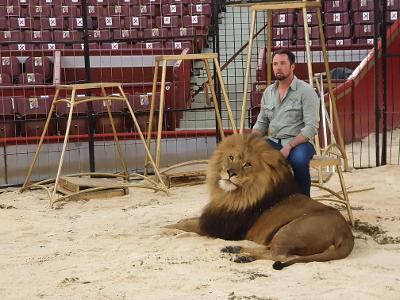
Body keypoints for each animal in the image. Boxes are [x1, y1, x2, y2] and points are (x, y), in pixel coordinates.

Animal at [167, 134, 354, 270]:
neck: (234, 194)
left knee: (279, 255)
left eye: (247, 164)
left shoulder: (219, 227)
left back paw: (243, 257)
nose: (230, 172)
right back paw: (235, 250)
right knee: (271, 249)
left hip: (290, 229)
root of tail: (346, 233)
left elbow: (186, 225)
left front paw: (165, 229)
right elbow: (186, 220)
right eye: (230, 157)